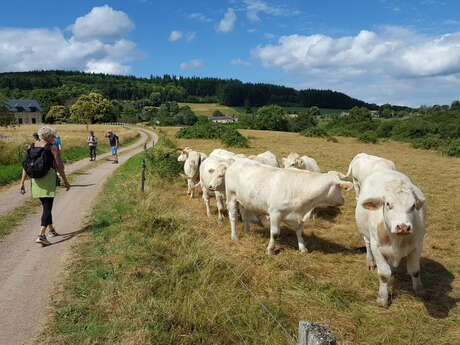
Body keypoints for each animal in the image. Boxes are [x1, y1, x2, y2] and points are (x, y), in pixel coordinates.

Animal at [208, 159, 352, 253]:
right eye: (341, 188)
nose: (343, 200)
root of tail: (236, 162)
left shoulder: (298, 216)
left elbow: (300, 231)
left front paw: (303, 248)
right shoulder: (275, 213)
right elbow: (275, 233)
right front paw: (270, 250)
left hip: (244, 199)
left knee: (245, 215)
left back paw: (247, 231)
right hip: (231, 196)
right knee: (233, 217)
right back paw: (234, 236)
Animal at [356, 168, 428, 306]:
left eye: (413, 206)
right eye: (388, 204)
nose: (403, 227)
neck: (397, 240)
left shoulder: (417, 245)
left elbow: (415, 270)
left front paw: (420, 289)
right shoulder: (376, 247)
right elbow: (384, 274)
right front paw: (382, 298)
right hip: (366, 234)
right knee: (367, 243)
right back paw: (370, 262)